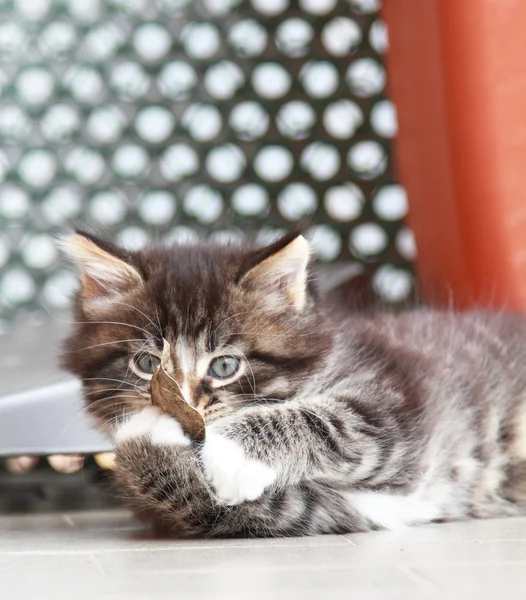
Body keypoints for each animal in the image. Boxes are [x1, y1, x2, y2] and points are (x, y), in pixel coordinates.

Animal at [59, 229, 526, 536]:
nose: (184, 407)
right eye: (147, 363)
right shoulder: (344, 510)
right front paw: (148, 436)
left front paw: (228, 451)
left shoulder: (401, 407)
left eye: (224, 366)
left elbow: (332, 421)